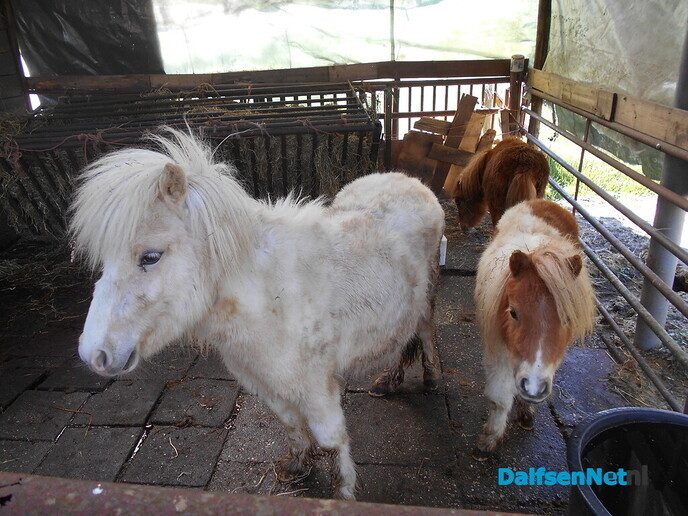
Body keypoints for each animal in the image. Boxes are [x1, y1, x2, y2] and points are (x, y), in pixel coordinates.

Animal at [70, 128, 445, 499]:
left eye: (150, 257)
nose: (93, 354)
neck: (267, 298)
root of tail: (411, 181)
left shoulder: (317, 388)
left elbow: (331, 440)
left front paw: (344, 494)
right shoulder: (265, 382)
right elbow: (291, 424)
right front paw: (297, 464)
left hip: (427, 297)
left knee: (425, 331)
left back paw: (430, 377)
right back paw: (389, 381)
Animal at [473, 199, 595, 458]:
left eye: (567, 318)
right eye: (513, 312)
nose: (534, 387)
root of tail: (542, 201)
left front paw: (526, 411)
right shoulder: (498, 352)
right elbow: (499, 398)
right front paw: (490, 438)